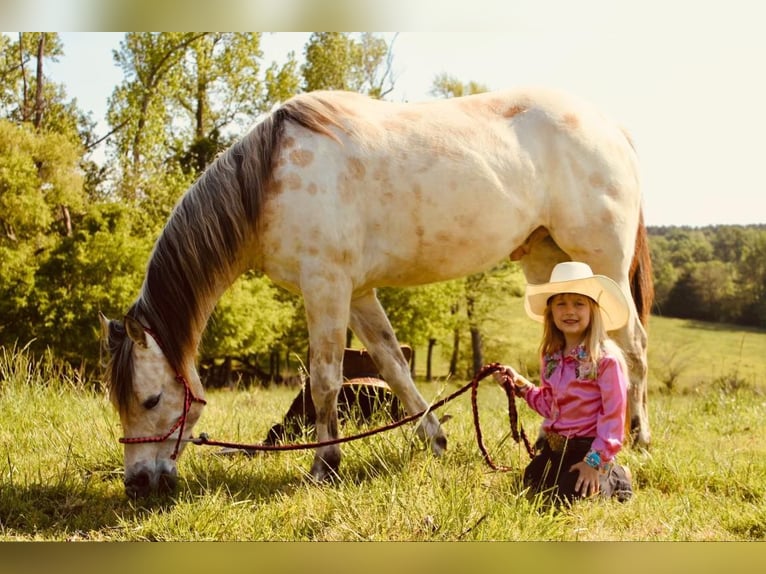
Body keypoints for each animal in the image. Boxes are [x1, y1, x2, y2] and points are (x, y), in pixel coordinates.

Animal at [100, 85, 656, 500]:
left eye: (151, 399)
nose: (137, 484)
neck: (270, 180)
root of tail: (614, 130)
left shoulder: (326, 286)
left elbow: (325, 379)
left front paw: (325, 465)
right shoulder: (359, 293)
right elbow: (393, 365)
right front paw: (434, 440)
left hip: (602, 262)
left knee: (631, 348)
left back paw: (638, 437)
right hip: (549, 261)